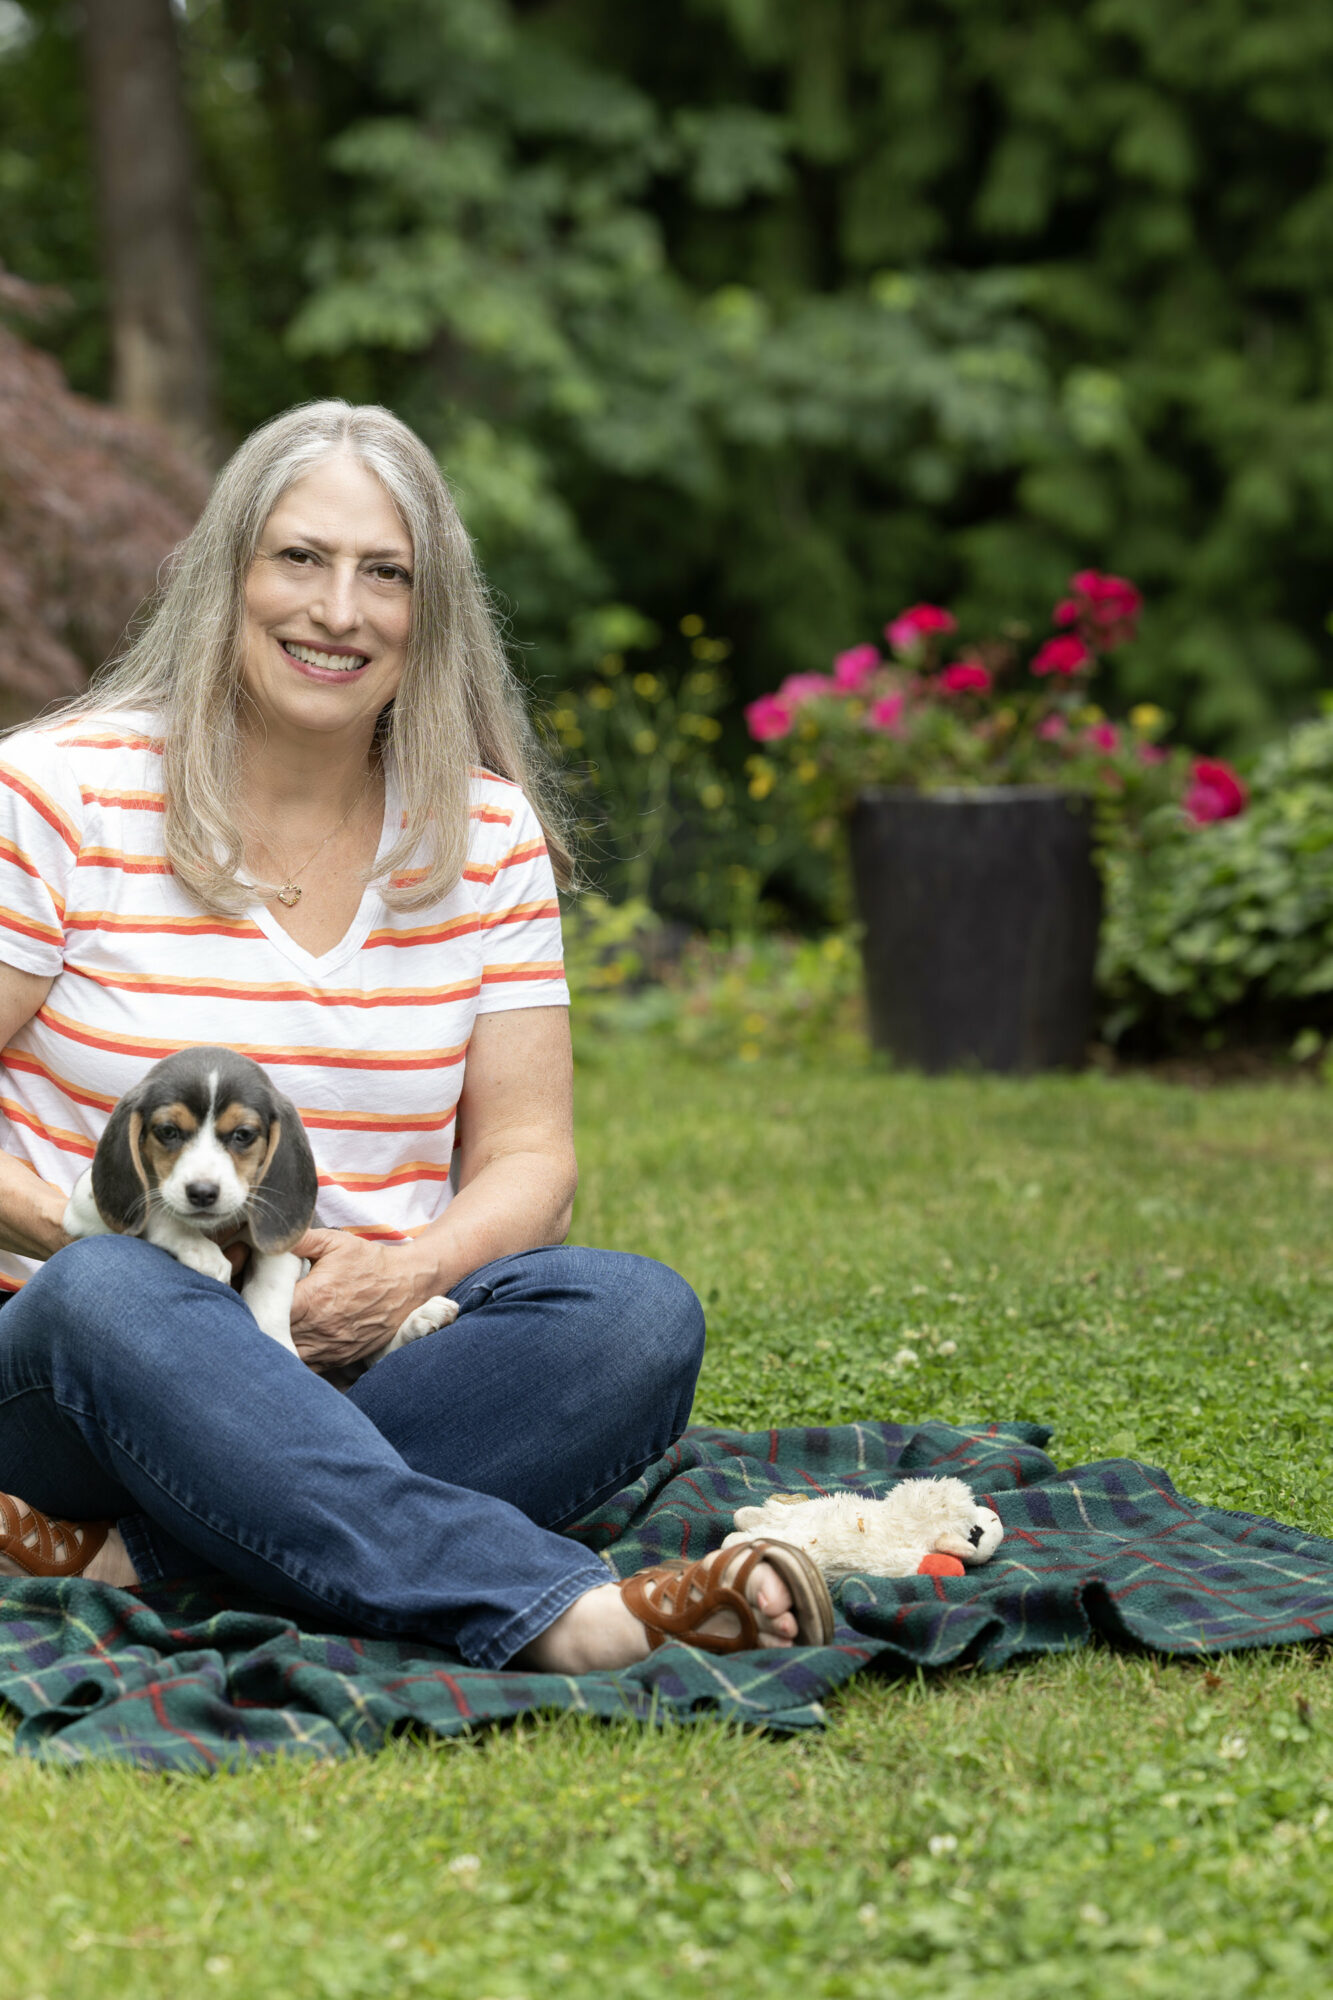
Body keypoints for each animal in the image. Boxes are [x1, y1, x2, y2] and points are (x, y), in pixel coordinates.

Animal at [61, 1048, 456, 1360]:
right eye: (168, 1131)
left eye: (243, 1135)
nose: (202, 1192)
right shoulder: (84, 1206)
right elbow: (156, 1209)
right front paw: (203, 1253)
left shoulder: (287, 1243)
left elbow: (268, 1292)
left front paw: (278, 1346)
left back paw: (422, 1318)